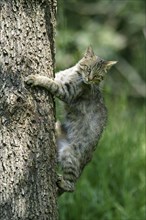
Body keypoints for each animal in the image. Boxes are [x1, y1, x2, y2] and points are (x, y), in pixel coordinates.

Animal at [24, 46, 116, 194]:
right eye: (88, 69)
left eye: (97, 76)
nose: (89, 79)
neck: (74, 73)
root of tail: (87, 161)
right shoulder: (59, 77)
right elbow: (54, 78)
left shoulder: (67, 92)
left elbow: (50, 83)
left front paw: (37, 78)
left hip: (69, 154)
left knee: (72, 185)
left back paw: (63, 182)